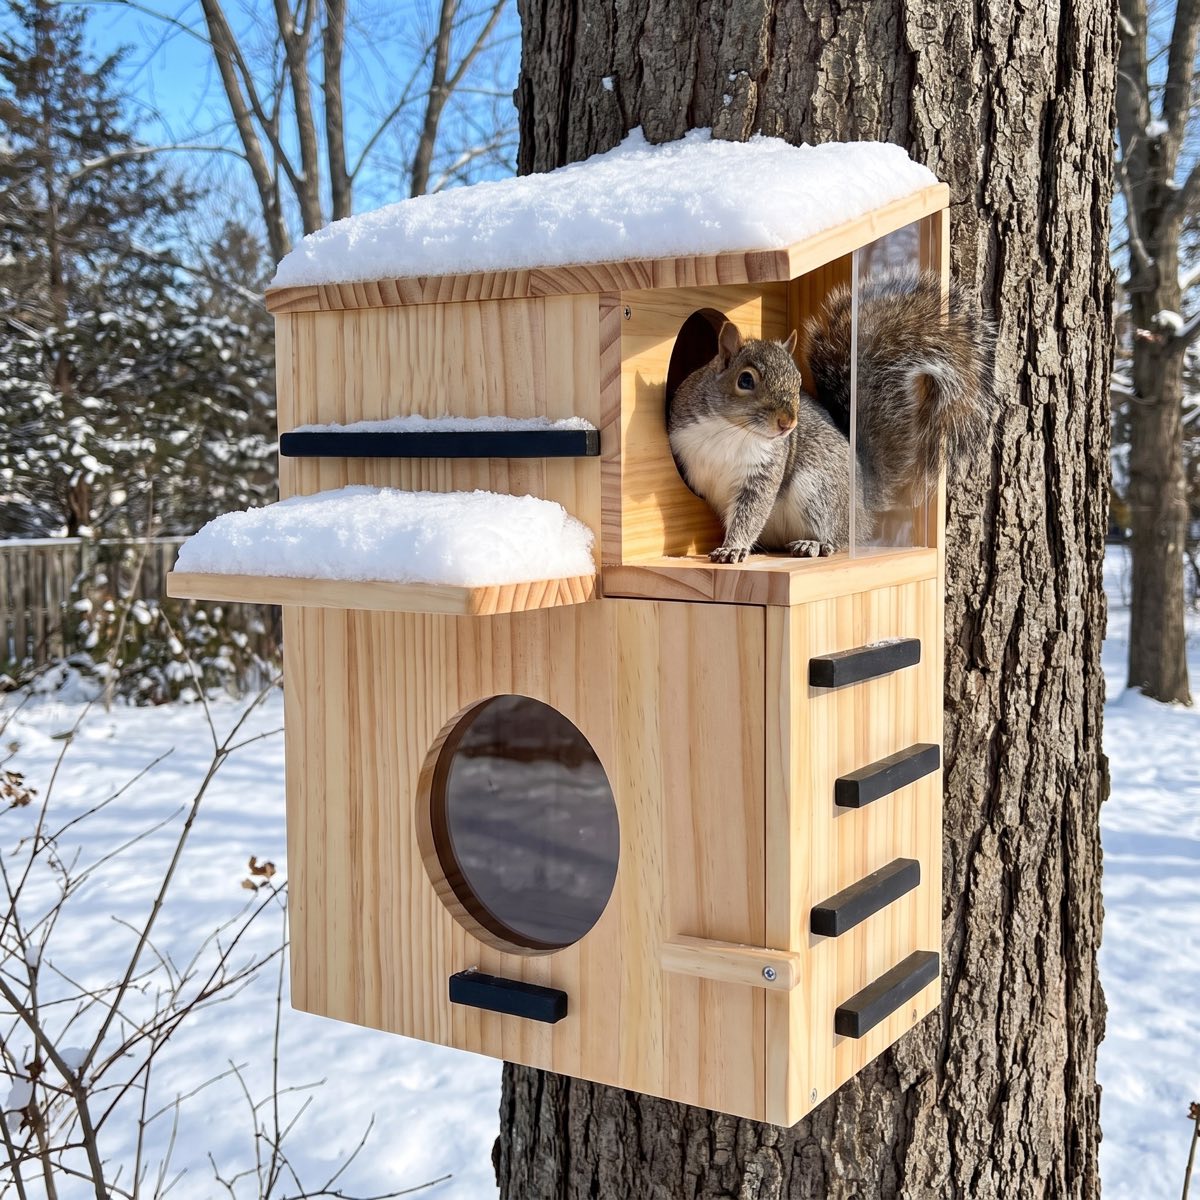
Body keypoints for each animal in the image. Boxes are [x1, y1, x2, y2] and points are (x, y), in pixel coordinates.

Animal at [666, 270, 995, 563]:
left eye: (798, 382)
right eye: (745, 380)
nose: (788, 423)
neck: (732, 430)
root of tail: (863, 507)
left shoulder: (764, 472)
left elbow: (751, 512)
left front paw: (732, 548)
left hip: (818, 489)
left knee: (838, 537)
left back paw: (814, 544)